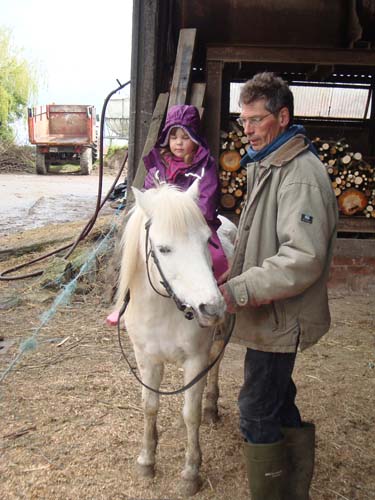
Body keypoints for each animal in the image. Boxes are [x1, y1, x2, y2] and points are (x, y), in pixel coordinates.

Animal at [116, 181, 236, 496]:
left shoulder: (195, 361)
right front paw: (147, 460)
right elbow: (149, 406)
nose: (212, 308)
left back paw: (211, 407)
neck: (163, 309)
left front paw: (191, 472)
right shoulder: (146, 359)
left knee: (216, 364)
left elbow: (190, 414)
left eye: (207, 241)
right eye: (163, 249)